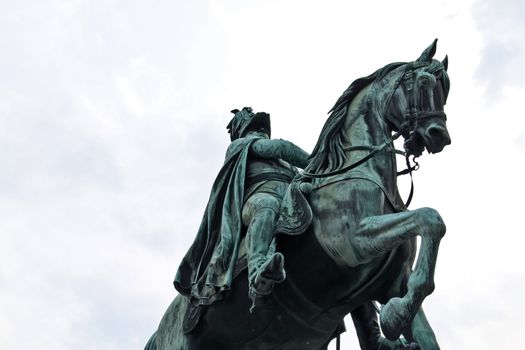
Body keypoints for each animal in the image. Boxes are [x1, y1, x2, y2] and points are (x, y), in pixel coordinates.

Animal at [146, 39, 450, 350]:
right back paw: (263, 273)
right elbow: (430, 219)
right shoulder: (353, 239)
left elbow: (423, 307)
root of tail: (160, 331)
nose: (438, 135)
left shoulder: (394, 283)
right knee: (265, 209)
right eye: (425, 82)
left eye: (445, 90)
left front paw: (394, 317)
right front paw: (394, 315)